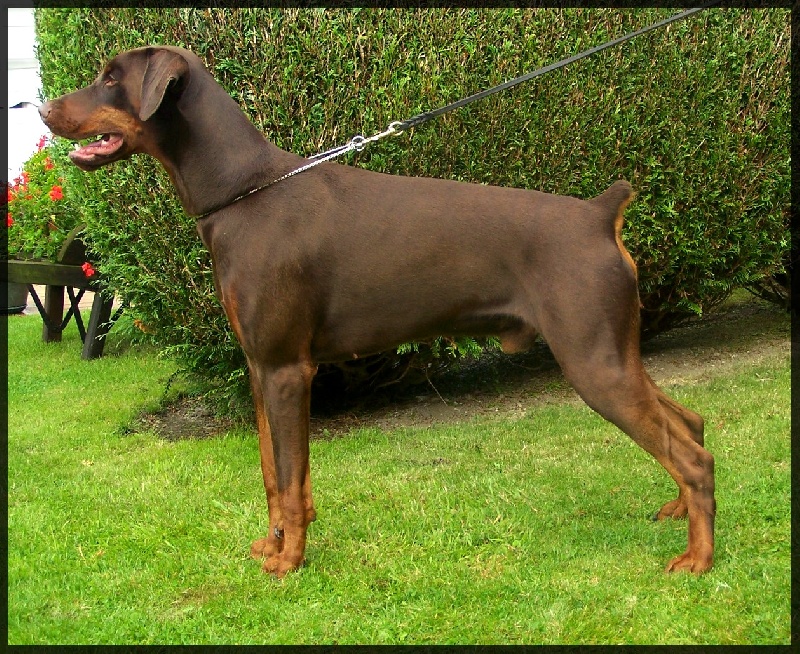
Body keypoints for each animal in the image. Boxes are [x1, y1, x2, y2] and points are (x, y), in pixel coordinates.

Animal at [39, 45, 715, 578]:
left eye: (111, 77)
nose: (42, 111)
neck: (244, 192)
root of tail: (600, 215)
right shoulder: (260, 366)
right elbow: (275, 473)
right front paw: (274, 545)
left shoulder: (287, 369)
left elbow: (289, 478)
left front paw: (289, 562)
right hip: (613, 352)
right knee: (689, 422)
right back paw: (679, 511)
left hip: (593, 360)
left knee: (693, 455)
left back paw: (698, 558)